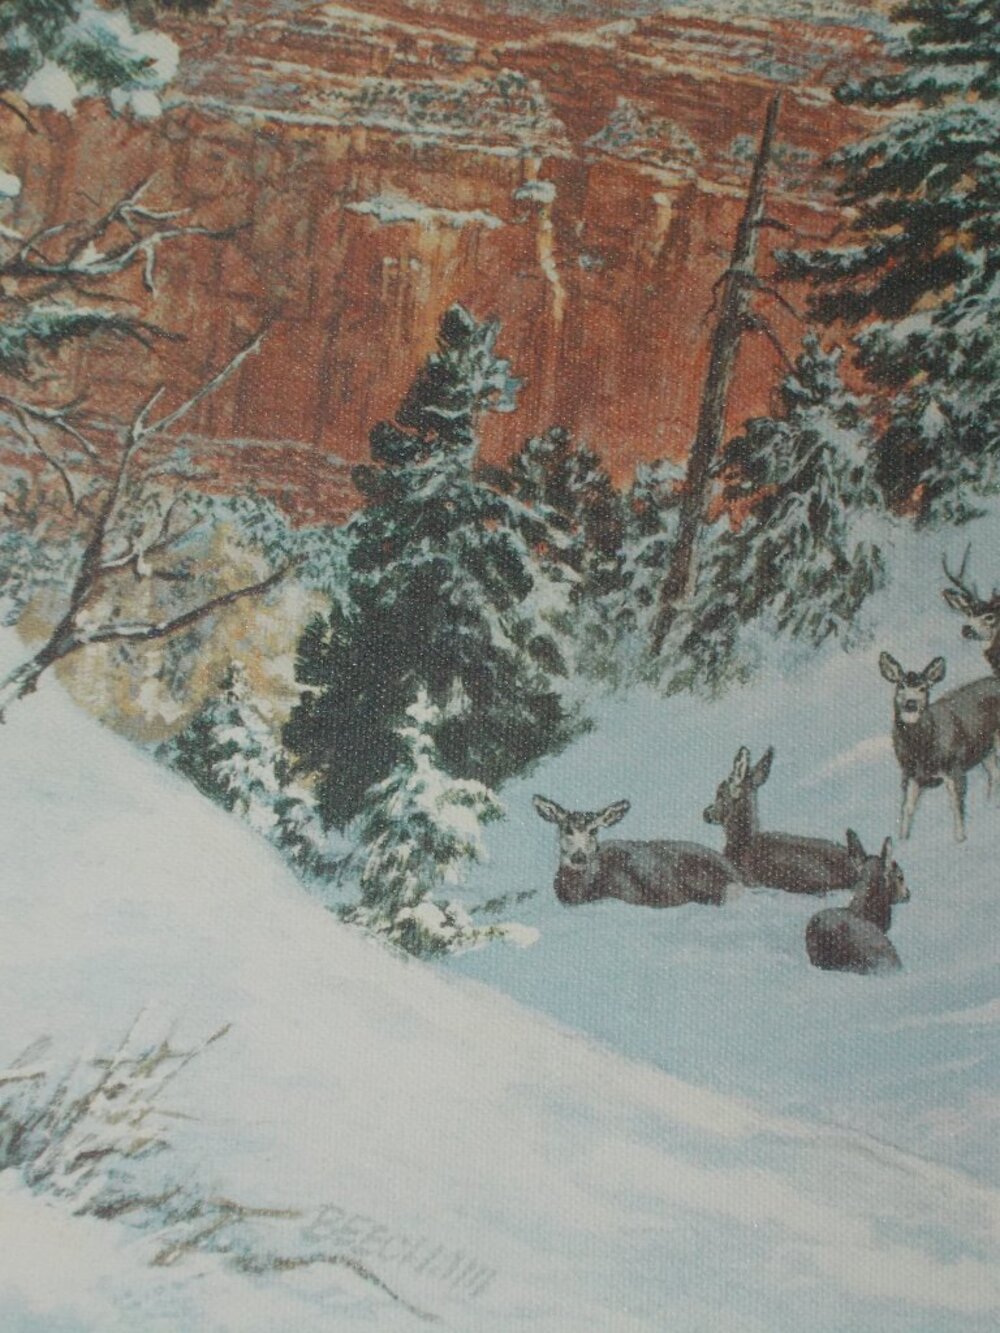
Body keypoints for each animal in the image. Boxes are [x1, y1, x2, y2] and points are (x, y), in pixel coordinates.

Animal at [879, 652, 1000, 841]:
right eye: (901, 686)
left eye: (923, 688)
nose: (911, 704)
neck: (922, 751)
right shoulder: (910, 774)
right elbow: (907, 809)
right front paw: (903, 841)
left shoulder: (955, 767)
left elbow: (957, 806)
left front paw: (960, 839)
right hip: (985, 750)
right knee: (994, 774)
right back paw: (989, 805)